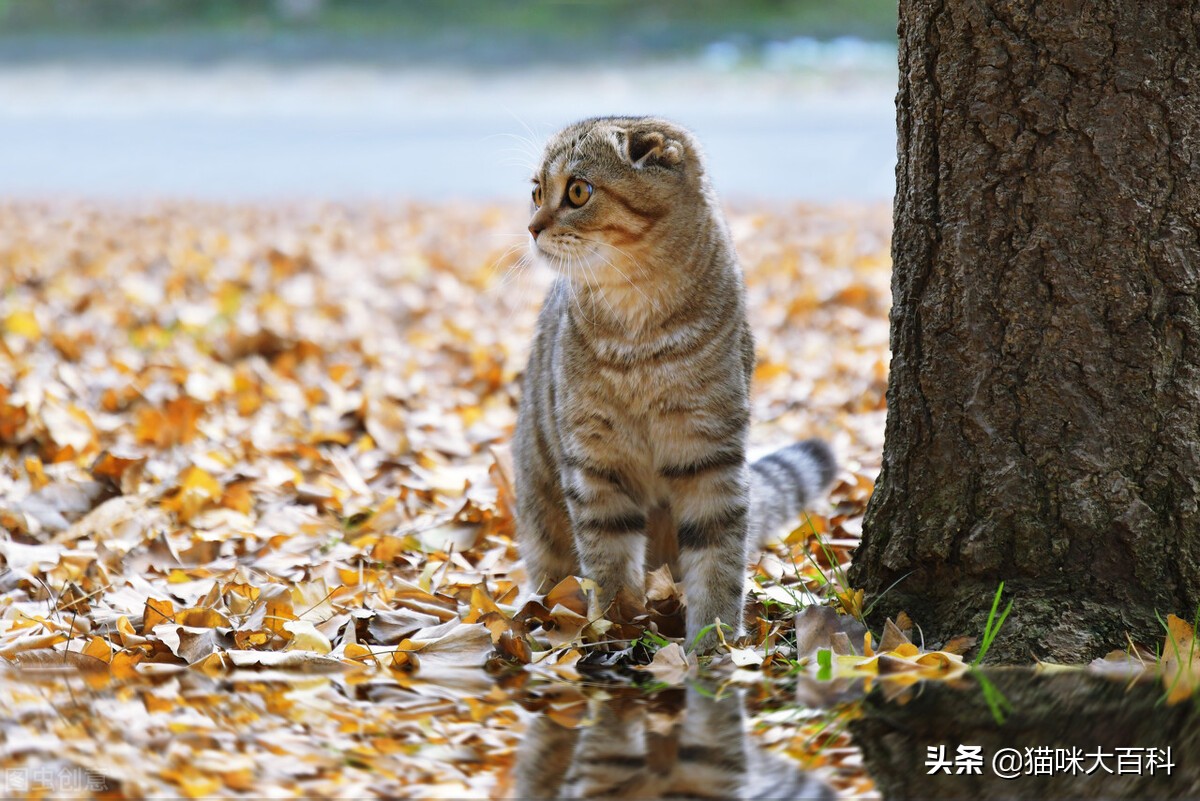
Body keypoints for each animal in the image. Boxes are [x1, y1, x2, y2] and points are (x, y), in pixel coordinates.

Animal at [508, 115, 835, 652]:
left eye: (577, 191)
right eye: (536, 192)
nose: (532, 228)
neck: (637, 330)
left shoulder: (710, 455)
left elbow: (718, 560)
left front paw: (714, 645)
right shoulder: (596, 462)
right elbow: (608, 562)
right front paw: (612, 630)